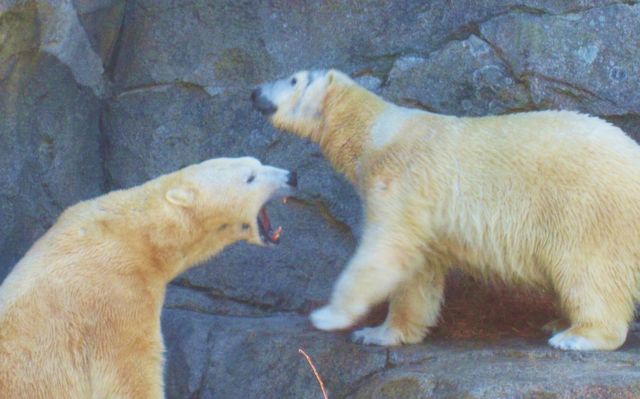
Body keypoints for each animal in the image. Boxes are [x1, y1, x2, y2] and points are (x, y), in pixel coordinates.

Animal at [0, 158, 298, 398]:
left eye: (258, 162)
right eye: (250, 177)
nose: (292, 176)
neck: (139, 236)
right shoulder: (115, 295)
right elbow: (130, 370)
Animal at [251, 70, 640, 352]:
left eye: (292, 79)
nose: (254, 92)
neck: (376, 131)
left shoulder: (401, 177)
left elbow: (387, 249)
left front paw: (330, 317)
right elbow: (416, 270)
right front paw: (382, 333)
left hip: (587, 209)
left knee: (587, 272)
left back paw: (578, 335)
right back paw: (559, 322)